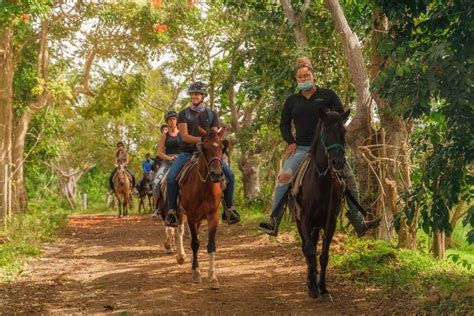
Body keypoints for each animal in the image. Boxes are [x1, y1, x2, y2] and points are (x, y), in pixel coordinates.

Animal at [176, 127, 228, 290]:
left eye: (222, 147)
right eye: (204, 148)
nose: (216, 174)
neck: (204, 187)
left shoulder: (213, 216)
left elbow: (211, 245)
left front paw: (213, 278)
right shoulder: (191, 217)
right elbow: (194, 244)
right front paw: (197, 273)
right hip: (181, 213)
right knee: (181, 231)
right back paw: (182, 258)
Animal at [286, 108, 350, 302]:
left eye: (344, 131)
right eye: (326, 131)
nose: (338, 162)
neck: (320, 181)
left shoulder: (330, 222)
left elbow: (323, 255)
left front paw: (322, 287)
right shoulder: (305, 220)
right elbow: (310, 252)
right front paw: (313, 288)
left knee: (313, 246)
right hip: (300, 222)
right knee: (306, 248)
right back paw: (310, 280)